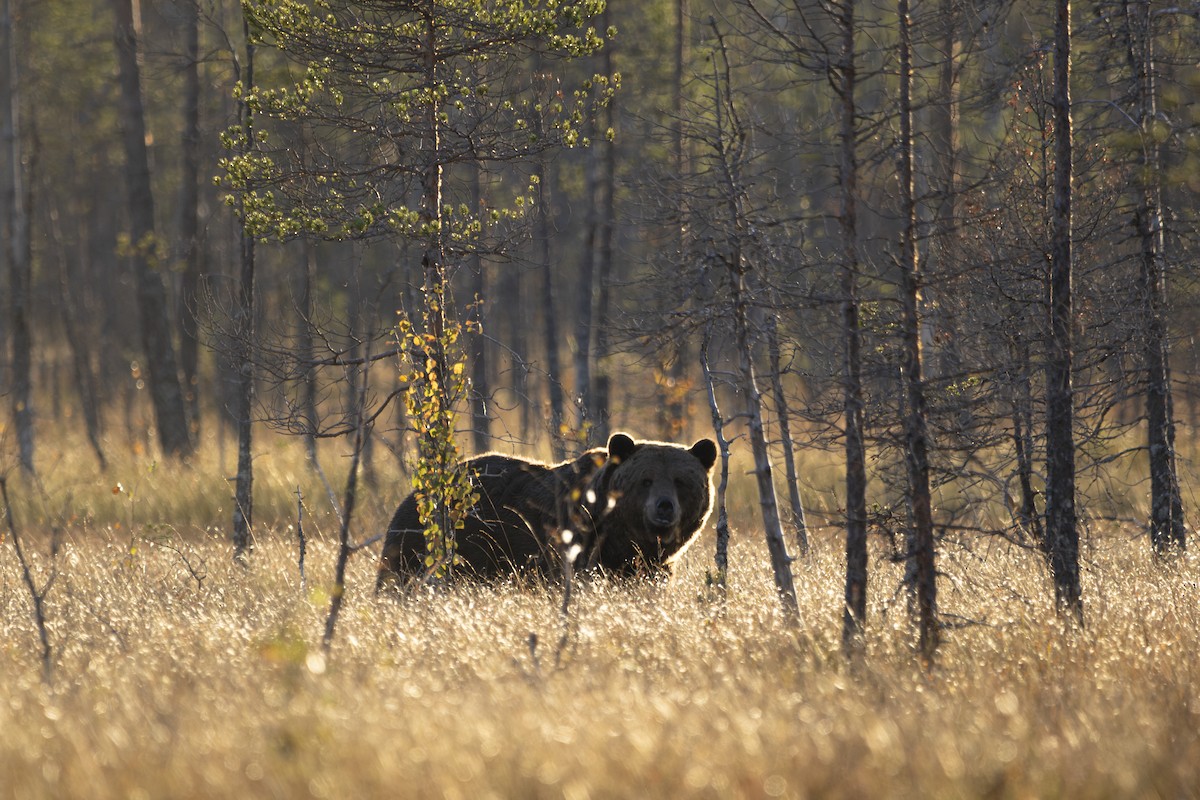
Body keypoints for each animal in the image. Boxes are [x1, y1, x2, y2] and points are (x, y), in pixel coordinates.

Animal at [375, 432, 718, 590]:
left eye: (681, 481)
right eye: (645, 480)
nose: (664, 507)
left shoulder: (651, 567)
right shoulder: (575, 549)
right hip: (432, 547)